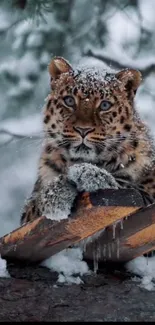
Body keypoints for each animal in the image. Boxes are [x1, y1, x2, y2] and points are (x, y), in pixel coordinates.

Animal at [20, 56, 155, 225]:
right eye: (69, 101)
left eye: (105, 105)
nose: (83, 130)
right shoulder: (27, 212)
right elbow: (35, 206)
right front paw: (55, 195)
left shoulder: (144, 196)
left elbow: (122, 186)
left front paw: (89, 173)